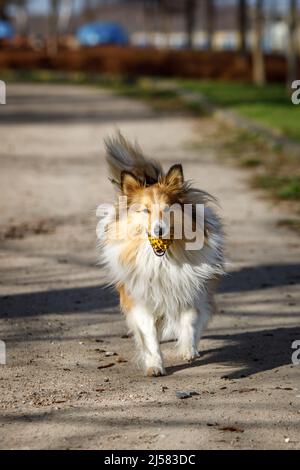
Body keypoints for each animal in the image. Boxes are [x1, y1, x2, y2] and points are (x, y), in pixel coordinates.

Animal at [97, 134, 224, 376]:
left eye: (167, 209)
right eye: (145, 210)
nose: (159, 230)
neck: (163, 260)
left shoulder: (191, 290)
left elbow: (190, 321)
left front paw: (188, 350)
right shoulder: (141, 300)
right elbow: (149, 336)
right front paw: (155, 365)